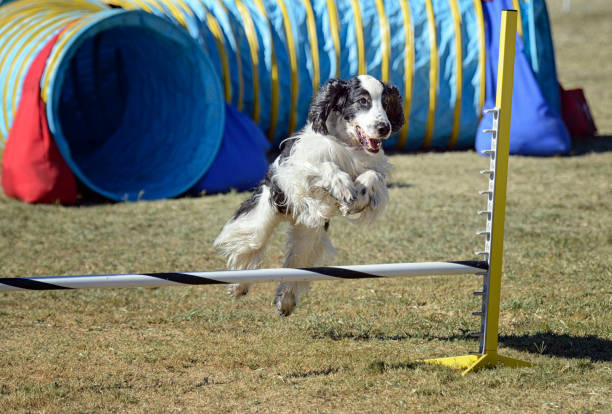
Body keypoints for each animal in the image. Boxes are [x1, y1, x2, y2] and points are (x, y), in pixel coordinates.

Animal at [213, 74, 404, 316]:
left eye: (386, 103)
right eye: (362, 100)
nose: (384, 127)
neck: (347, 145)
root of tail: (291, 215)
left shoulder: (372, 165)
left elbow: (372, 176)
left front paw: (356, 198)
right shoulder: (296, 169)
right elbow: (324, 167)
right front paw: (342, 186)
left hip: (309, 233)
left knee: (297, 262)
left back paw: (285, 301)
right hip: (264, 214)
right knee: (251, 243)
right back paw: (238, 285)